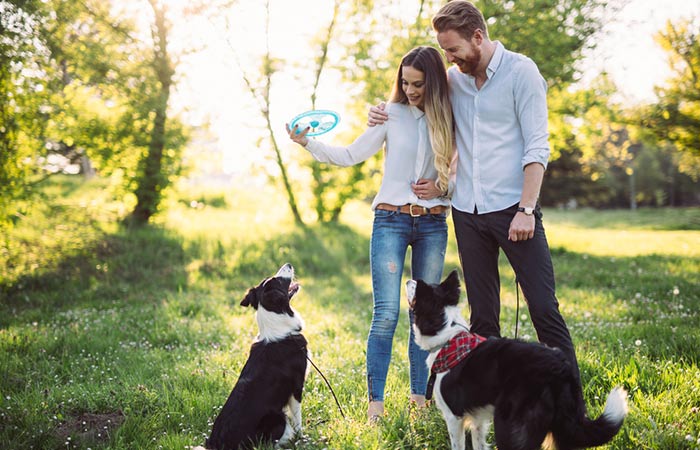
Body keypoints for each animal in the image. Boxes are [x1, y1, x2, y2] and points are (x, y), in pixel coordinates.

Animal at [196, 264, 308, 450]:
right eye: (278, 280)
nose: (289, 264)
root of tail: (216, 444)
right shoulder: (297, 384)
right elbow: (297, 417)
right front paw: (302, 437)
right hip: (277, 418)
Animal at [404, 270, 628, 450]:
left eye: (418, 288)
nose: (408, 280)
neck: (446, 333)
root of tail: (560, 368)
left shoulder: (454, 416)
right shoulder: (478, 419)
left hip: (510, 424)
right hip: (560, 428)